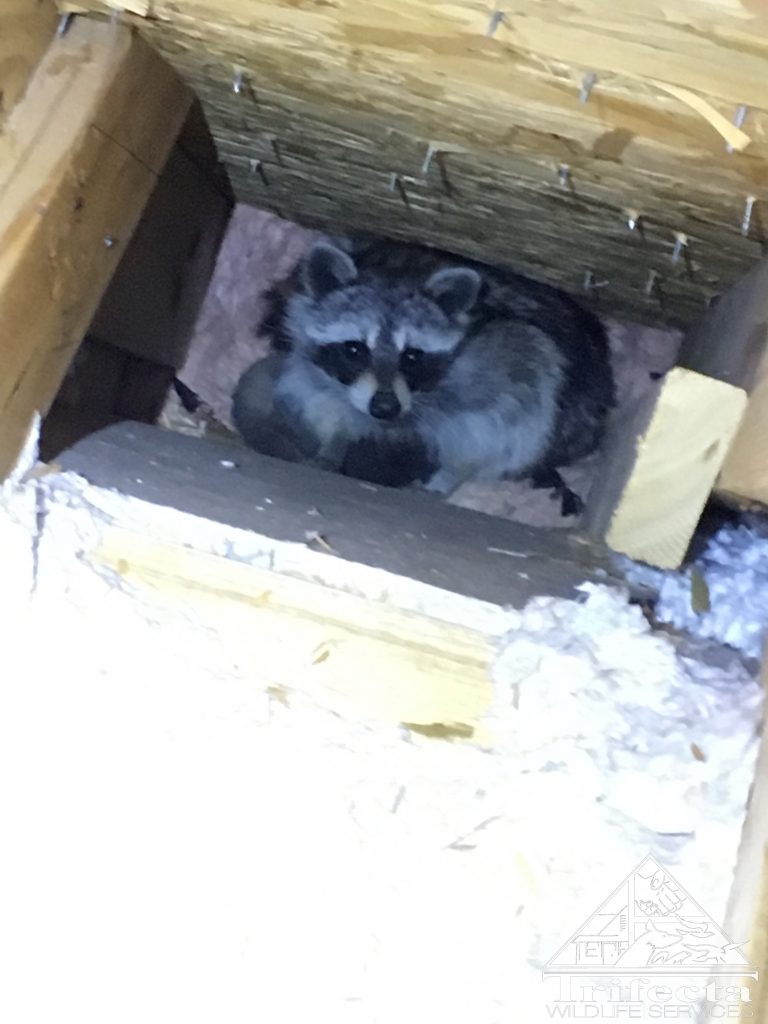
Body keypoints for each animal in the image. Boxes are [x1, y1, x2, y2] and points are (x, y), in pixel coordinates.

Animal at [231, 236, 618, 516]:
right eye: (355, 349)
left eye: (412, 356)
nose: (384, 408)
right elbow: (330, 405)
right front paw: (336, 440)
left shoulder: (511, 363)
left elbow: (496, 436)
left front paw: (451, 474)